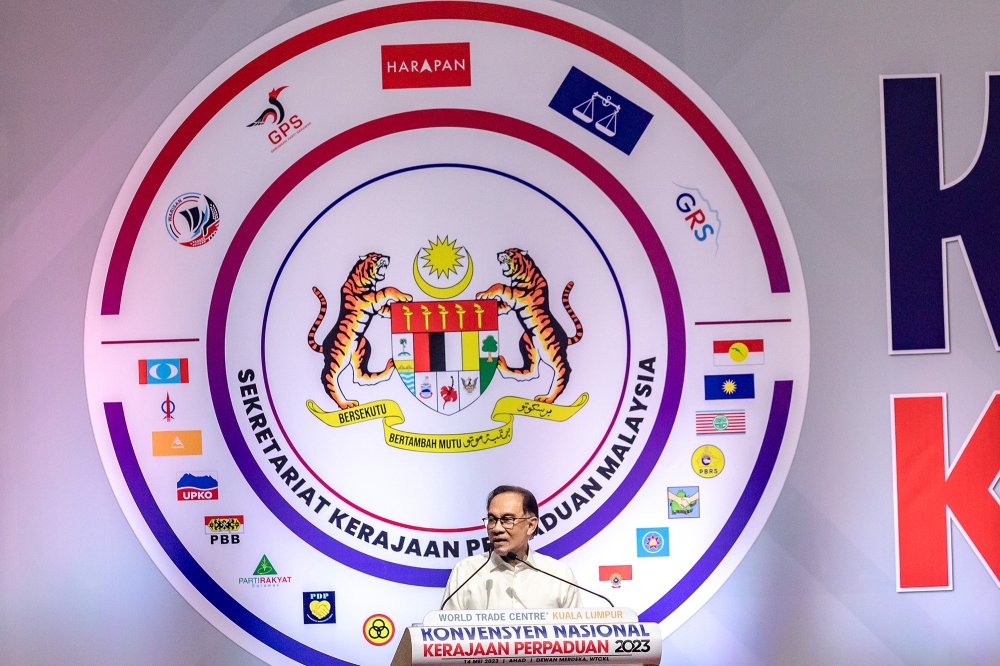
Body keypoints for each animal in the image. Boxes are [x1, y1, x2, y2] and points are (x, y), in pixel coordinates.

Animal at [308, 252, 410, 408]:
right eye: (375, 257)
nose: (388, 257)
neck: (368, 281)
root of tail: (324, 345)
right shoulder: (370, 300)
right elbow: (387, 289)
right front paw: (405, 296)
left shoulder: (378, 307)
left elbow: (387, 306)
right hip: (339, 356)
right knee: (328, 376)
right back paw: (346, 404)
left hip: (361, 348)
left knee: (361, 377)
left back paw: (390, 366)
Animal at [474, 248, 584, 400]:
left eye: (511, 253)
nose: (498, 254)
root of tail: (565, 338)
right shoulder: (510, 303)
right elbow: (501, 303)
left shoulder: (518, 295)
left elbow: (500, 285)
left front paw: (483, 294)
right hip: (528, 343)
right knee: (532, 372)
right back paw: (502, 365)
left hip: (551, 351)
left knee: (563, 370)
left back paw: (547, 398)